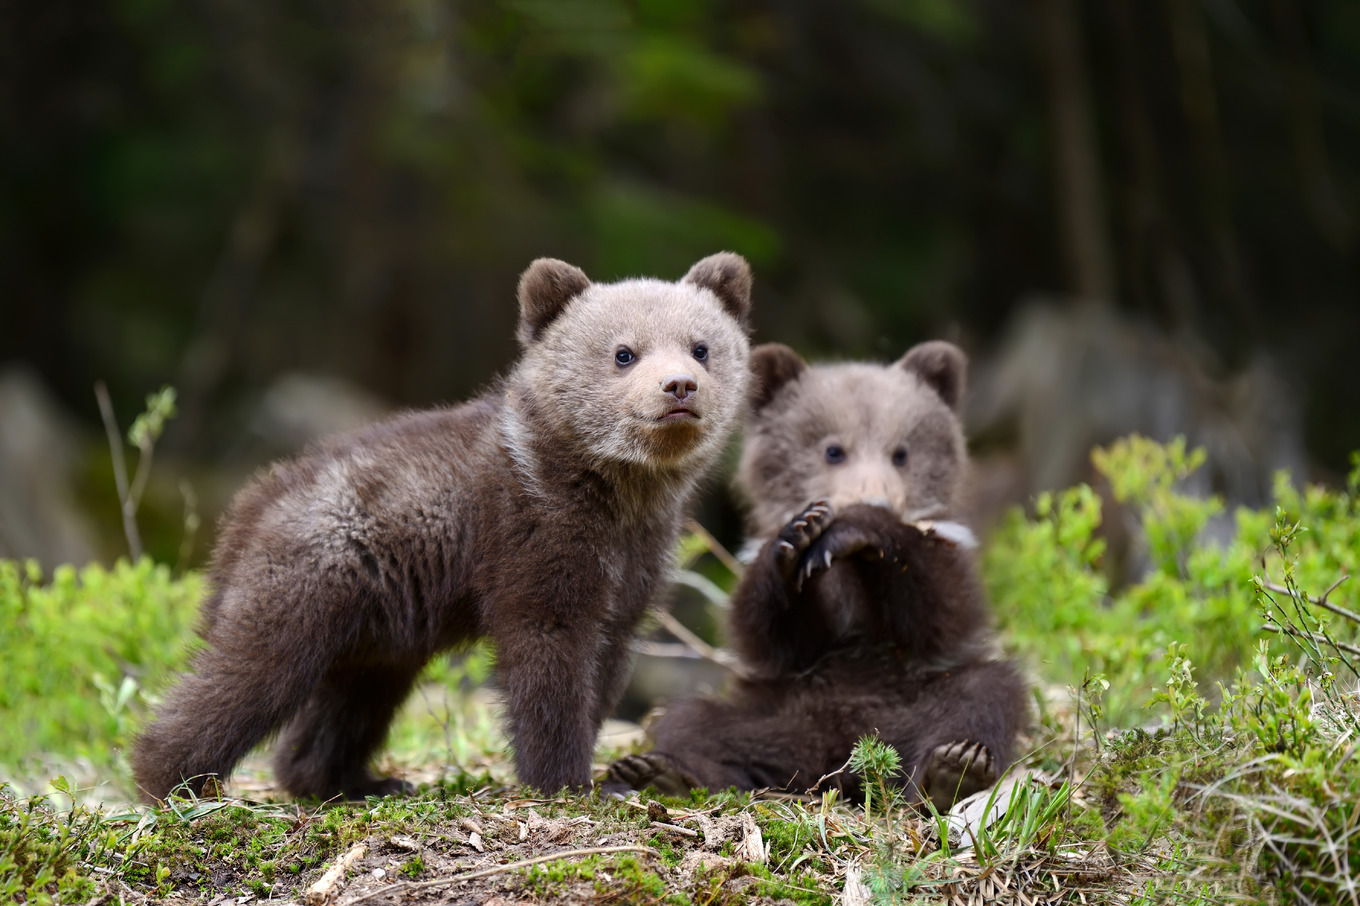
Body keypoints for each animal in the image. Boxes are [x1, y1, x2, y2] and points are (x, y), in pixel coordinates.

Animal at [131, 253, 755, 803]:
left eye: (701, 347)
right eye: (624, 352)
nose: (679, 387)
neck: (615, 490)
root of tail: (252, 504)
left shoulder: (635, 565)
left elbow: (607, 660)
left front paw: (618, 771)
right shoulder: (532, 539)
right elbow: (548, 654)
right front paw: (567, 779)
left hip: (379, 631)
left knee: (349, 701)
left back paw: (355, 782)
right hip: (312, 578)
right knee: (248, 674)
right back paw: (171, 779)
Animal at [603, 341, 1028, 810]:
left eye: (901, 453)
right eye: (833, 450)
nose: (874, 495)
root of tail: (843, 761)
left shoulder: (947, 556)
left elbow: (938, 612)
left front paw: (857, 527)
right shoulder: (784, 632)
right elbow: (768, 630)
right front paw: (798, 536)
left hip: (916, 700)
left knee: (986, 693)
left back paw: (953, 769)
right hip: (775, 710)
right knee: (695, 719)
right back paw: (664, 773)